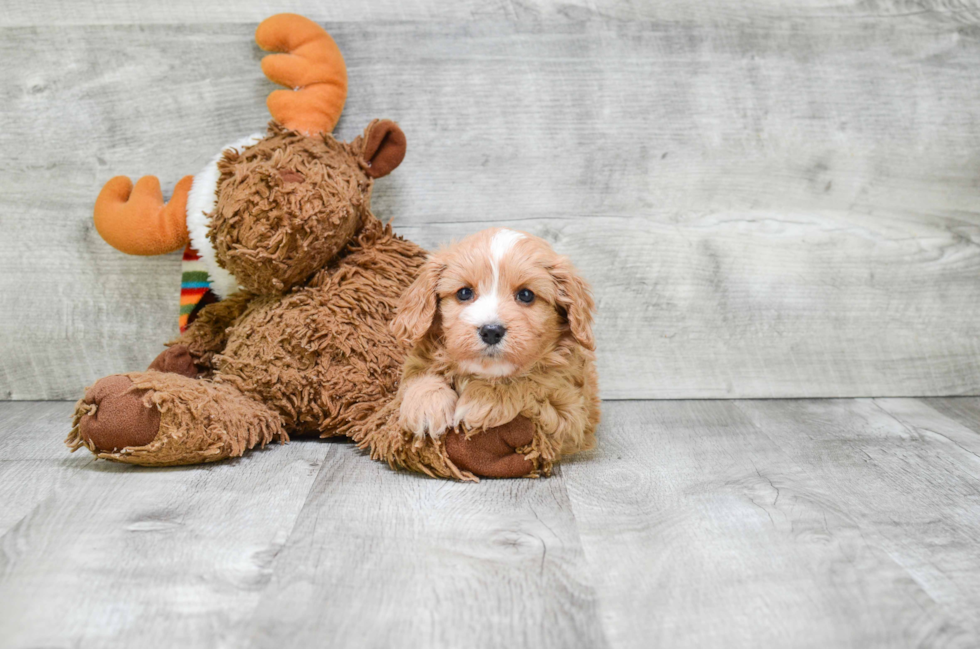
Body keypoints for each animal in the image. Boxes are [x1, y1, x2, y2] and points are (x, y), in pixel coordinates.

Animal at [388, 228, 596, 470]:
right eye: (464, 293)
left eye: (526, 295)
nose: (491, 331)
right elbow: (419, 374)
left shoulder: (569, 413)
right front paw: (426, 405)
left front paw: (483, 399)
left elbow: (530, 381)